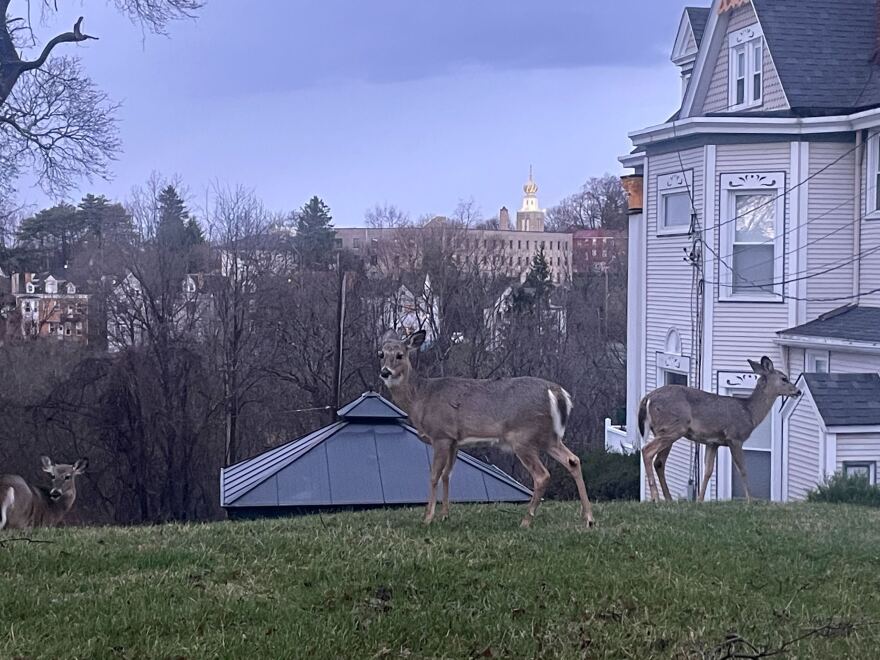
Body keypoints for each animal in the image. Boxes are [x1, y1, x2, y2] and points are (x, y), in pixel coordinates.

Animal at [378, 329, 594, 528]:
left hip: (523, 437)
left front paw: (428, 518)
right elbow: (447, 474)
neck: (420, 398)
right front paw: (445, 515)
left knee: (542, 475)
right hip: (548, 437)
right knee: (573, 460)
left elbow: (434, 476)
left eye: (400, 355)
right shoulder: (454, 440)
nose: (385, 372)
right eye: (381, 353)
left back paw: (526, 521)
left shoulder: (441, 435)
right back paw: (589, 519)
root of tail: (557, 392)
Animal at [637, 356, 800, 503]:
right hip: (674, 427)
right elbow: (742, 469)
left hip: (664, 430)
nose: (798, 391)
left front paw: (699, 500)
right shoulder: (735, 437)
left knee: (659, 462)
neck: (749, 412)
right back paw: (656, 498)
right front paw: (750, 501)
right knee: (647, 450)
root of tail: (647, 398)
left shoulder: (713, 442)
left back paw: (668, 499)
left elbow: (708, 471)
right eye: (784, 378)